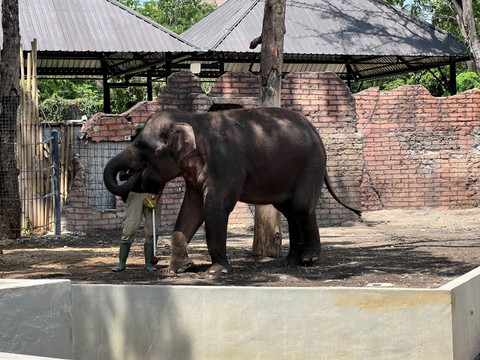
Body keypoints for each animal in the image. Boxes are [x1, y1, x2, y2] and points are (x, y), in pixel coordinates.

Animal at [104, 108, 360, 274]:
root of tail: (316, 133)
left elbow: (215, 206)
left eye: (144, 148)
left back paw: (310, 259)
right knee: (289, 209)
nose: (129, 173)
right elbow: (191, 210)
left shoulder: (225, 163)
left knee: (301, 205)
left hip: (312, 164)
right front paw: (178, 269)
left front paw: (217, 272)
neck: (192, 120)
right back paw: (290, 262)